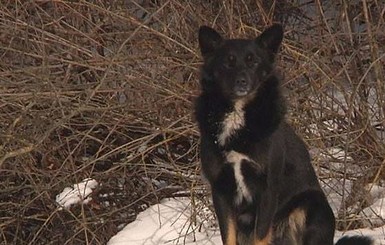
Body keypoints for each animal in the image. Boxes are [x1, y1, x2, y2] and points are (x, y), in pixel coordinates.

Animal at [195, 24, 372, 245]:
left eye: (253, 61)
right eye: (228, 62)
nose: (242, 81)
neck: (238, 113)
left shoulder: (267, 189)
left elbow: (260, 236)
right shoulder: (220, 191)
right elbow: (228, 237)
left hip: (312, 206)